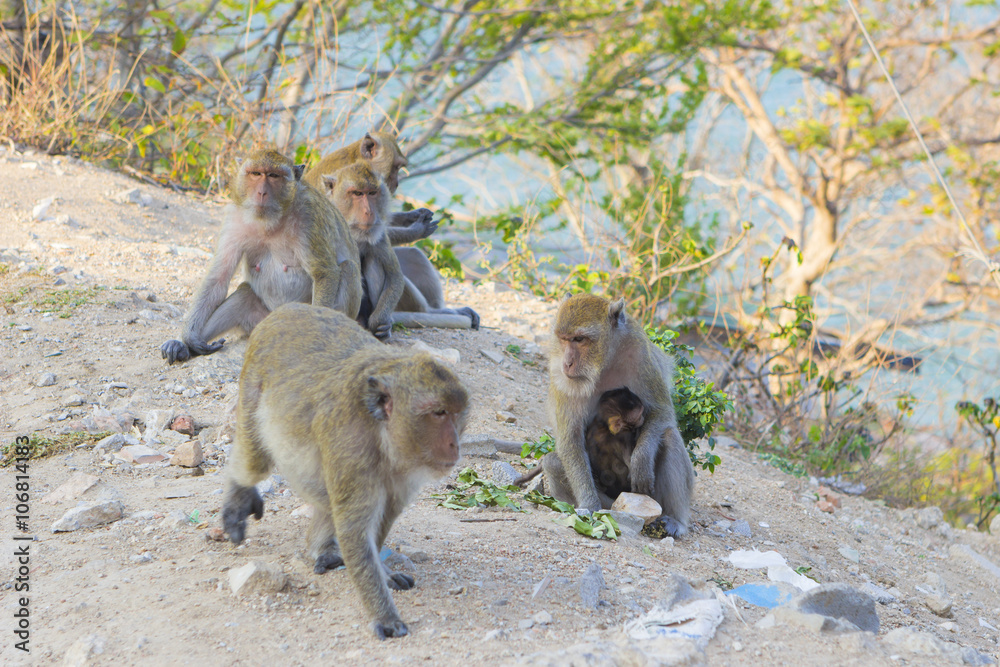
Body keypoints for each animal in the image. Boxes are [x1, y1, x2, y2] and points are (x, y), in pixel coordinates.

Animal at [160, 149, 362, 364]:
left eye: (273, 176)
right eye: (256, 174)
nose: (262, 192)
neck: (270, 220)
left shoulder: (310, 216)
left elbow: (324, 273)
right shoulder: (234, 218)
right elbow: (218, 278)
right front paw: (189, 337)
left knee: (348, 269)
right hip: (259, 320)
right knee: (244, 295)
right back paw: (185, 348)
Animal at [221, 302, 469, 639]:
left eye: (456, 414)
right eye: (438, 413)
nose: (455, 444)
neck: (381, 433)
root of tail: (287, 309)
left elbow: (382, 518)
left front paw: (384, 573)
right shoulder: (351, 449)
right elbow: (355, 531)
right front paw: (384, 614)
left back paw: (321, 548)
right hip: (252, 385)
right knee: (254, 461)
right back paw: (239, 495)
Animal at [322, 162, 404, 340]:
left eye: (372, 193)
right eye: (358, 193)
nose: (369, 212)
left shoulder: (379, 235)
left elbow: (395, 277)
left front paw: (382, 322)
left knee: (374, 261)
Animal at [543, 293, 694, 537]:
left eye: (579, 339)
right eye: (563, 339)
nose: (567, 363)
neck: (604, 362)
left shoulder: (639, 353)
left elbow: (662, 412)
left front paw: (641, 460)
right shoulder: (563, 379)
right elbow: (570, 439)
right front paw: (589, 505)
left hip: (653, 497)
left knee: (669, 436)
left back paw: (676, 521)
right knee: (553, 463)